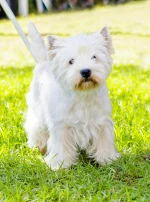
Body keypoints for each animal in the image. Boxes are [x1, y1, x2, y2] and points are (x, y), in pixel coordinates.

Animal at [24, 22, 120, 170]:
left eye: (94, 57)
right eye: (71, 61)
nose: (85, 71)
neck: (84, 95)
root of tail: (44, 62)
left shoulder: (102, 123)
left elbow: (104, 141)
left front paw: (107, 159)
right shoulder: (61, 126)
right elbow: (61, 146)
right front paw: (60, 164)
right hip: (38, 113)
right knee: (36, 128)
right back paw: (39, 147)